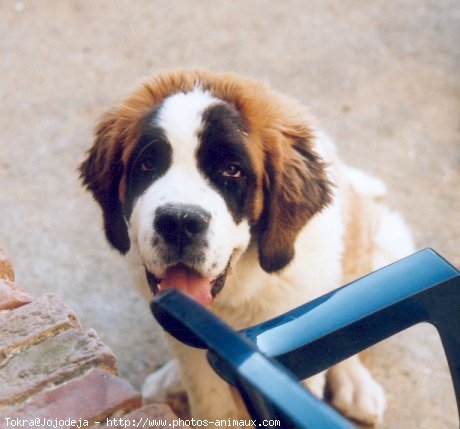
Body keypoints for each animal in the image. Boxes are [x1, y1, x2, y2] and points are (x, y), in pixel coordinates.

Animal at [79, 68, 414, 422]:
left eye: (232, 170)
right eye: (146, 165)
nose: (180, 222)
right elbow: (210, 401)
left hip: (385, 240)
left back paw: (356, 385)